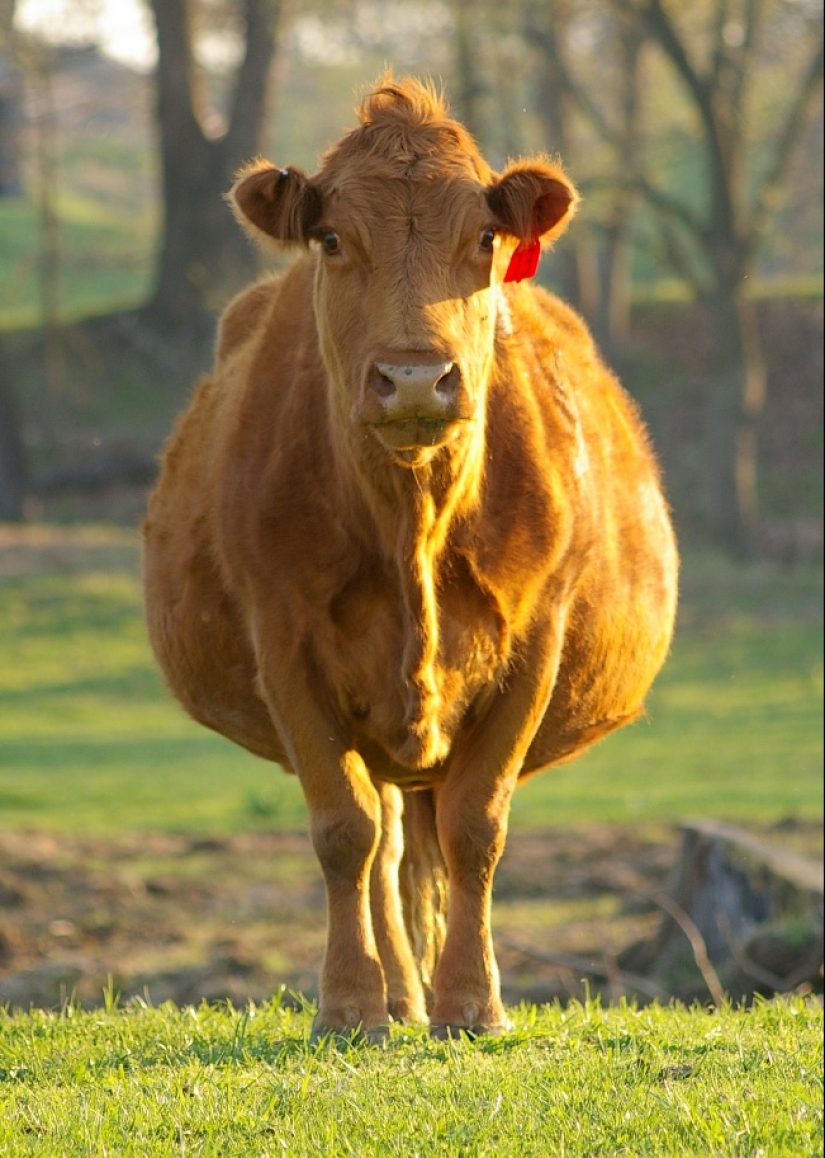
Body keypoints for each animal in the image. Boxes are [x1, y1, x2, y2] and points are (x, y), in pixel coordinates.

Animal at [141, 74, 681, 1042]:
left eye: (484, 238)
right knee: (386, 838)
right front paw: (350, 1005)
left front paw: (472, 1003)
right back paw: (396, 995)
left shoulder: (535, 646)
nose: (415, 378)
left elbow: (476, 826)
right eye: (330, 238)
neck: (413, 523)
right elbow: (343, 831)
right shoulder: (284, 646)